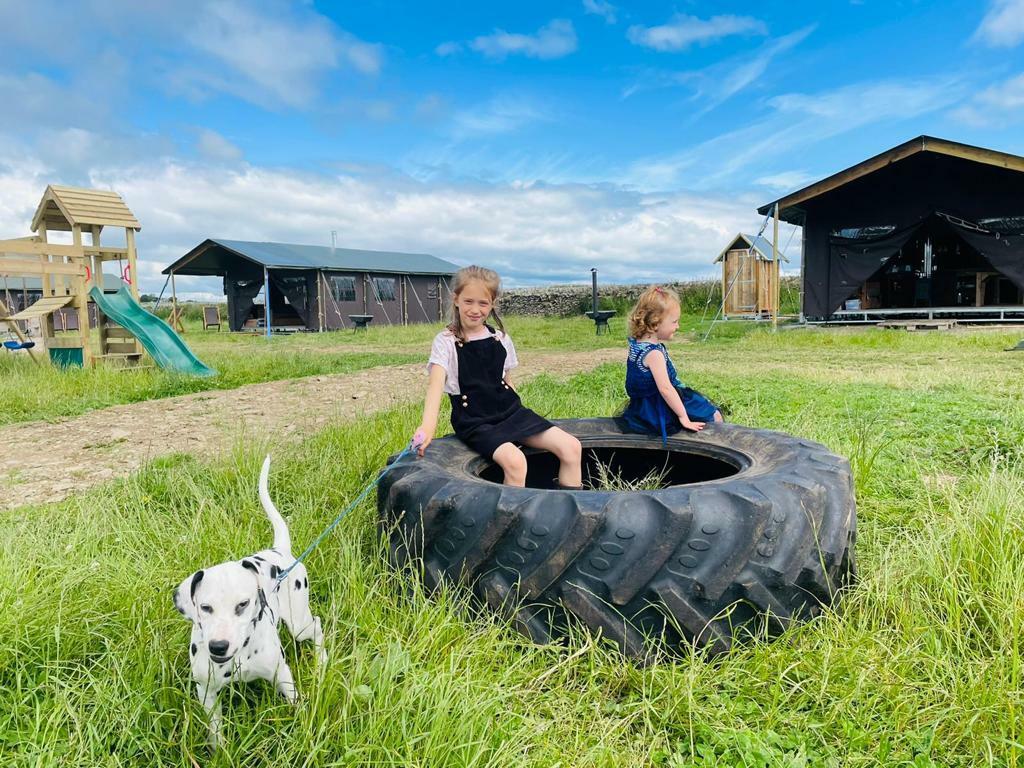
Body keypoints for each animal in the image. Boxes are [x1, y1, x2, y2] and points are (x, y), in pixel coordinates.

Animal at [172, 456, 323, 745]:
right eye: (205, 608)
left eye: (242, 605)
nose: (218, 646)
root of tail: (279, 550)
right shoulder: (206, 693)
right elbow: (216, 733)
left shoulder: (282, 676)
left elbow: (297, 705)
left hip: (299, 624)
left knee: (318, 625)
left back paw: (322, 660)